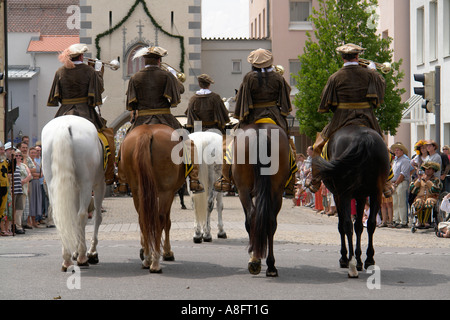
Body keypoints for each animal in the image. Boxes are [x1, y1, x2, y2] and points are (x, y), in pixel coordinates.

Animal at [41, 114, 106, 270]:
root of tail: (64, 126)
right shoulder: (99, 184)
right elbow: (97, 217)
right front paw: (92, 252)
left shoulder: (73, 189)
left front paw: (75, 251)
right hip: (86, 184)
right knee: (82, 215)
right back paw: (82, 257)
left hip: (52, 185)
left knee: (59, 216)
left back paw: (67, 258)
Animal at [118, 124, 187, 274]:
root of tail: (146, 132)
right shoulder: (170, 193)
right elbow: (167, 222)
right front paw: (167, 252)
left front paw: (143, 249)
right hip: (165, 191)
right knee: (160, 219)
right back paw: (155, 262)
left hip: (137, 190)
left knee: (142, 218)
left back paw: (147, 258)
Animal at [230, 122, 290, 278]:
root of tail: (260, 132)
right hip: (276, 191)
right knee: (269, 220)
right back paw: (270, 265)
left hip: (243, 190)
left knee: (253, 216)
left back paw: (256, 260)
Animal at [312, 125, 390, 278]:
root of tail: (364, 137)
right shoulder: (362, 196)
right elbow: (359, 225)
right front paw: (360, 259)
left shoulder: (338, 196)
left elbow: (342, 225)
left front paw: (345, 258)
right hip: (376, 193)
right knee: (371, 223)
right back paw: (368, 260)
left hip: (345, 194)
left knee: (347, 224)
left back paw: (351, 264)